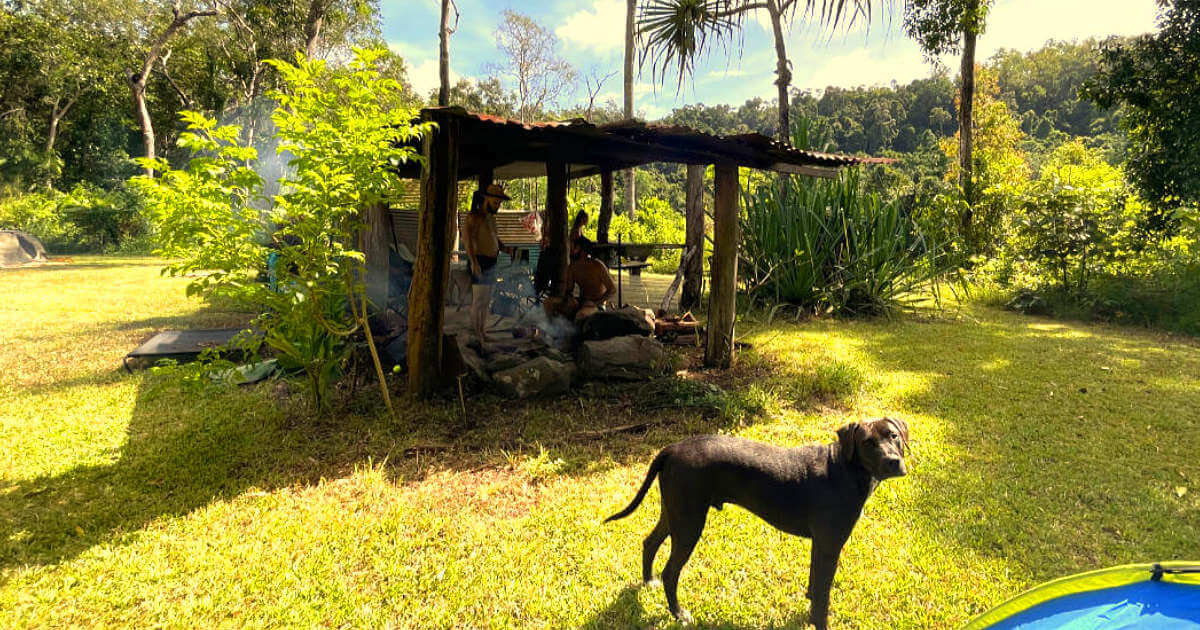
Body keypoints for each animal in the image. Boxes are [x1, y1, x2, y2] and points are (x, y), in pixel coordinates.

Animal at [609, 415, 907, 624]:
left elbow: (814, 585)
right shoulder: (830, 546)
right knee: (670, 572)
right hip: (689, 523)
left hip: (675, 513)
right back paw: (679, 614)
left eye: (893, 436)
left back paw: (648, 582)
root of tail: (671, 448)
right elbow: (823, 597)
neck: (846, 468)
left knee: (649, 542)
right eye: (867, 442)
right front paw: (819, 620)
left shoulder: (820, 545)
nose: (893, 461)